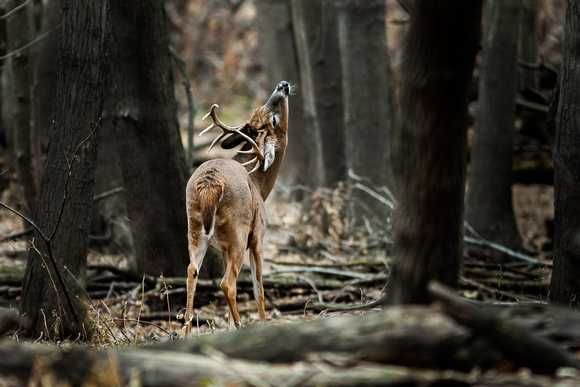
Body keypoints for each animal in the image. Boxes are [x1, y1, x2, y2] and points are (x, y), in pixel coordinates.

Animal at [184, 80, 290, 334]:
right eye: (273, 119)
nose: (283, 85)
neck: (260, 185)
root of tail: (210, 181)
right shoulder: (259, 235)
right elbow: (259, 289)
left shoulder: (222, 247)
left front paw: (230, 328)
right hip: (238, 230)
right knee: (227, 283)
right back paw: (242, 325)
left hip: (195, 227)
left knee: (191, 272)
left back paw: (186, 333)